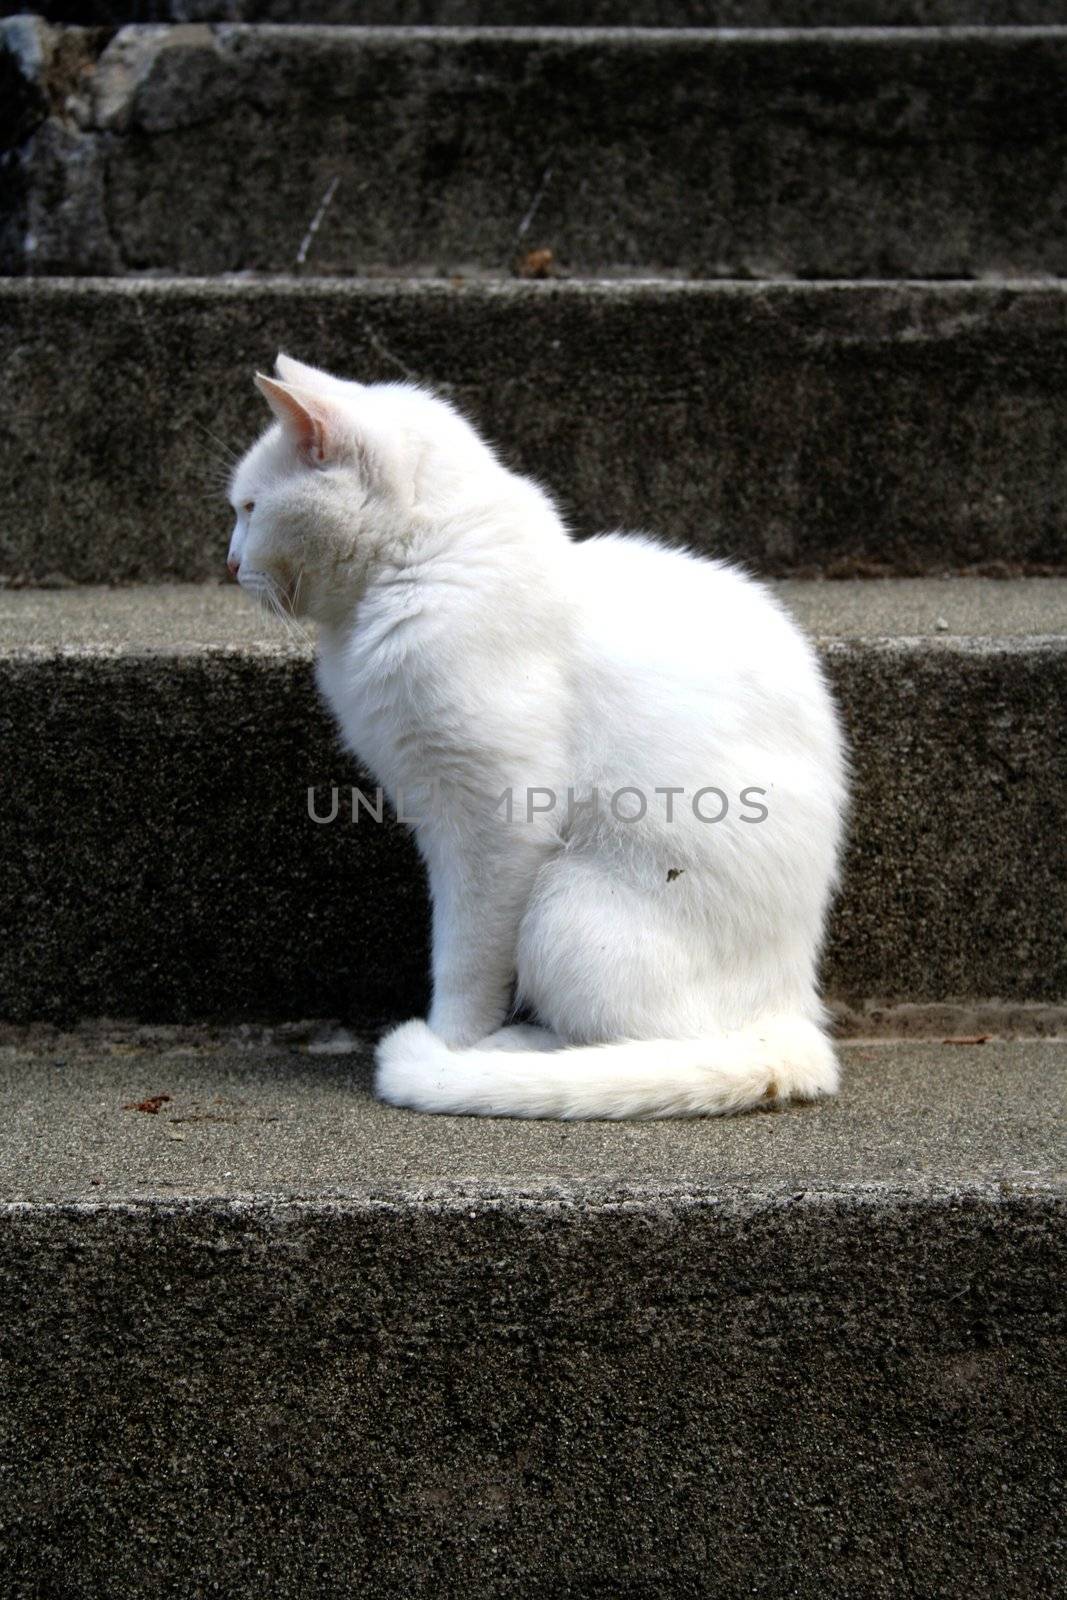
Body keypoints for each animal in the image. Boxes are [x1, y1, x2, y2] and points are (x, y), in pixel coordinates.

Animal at [230, 356, 844, 1120]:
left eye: (250, 509)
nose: (228, 564)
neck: (428, 561)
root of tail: (790, 1013)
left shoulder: (493, 821)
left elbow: (465, 953)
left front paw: (451, 1042)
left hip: (563, 906)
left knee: (644, 1043)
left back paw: (510, 1056)